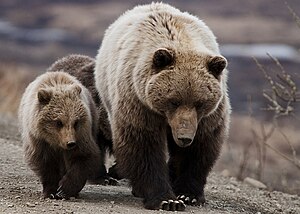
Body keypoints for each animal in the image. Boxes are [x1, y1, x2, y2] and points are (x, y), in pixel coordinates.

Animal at [95, 2, 231, 211]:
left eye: (199, 103)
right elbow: (143, 146)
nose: (184, 137)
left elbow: (200, 146)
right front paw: (166, 200)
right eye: (173, 100)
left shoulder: (208, 116)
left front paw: (187, 194)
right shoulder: (139, 101)